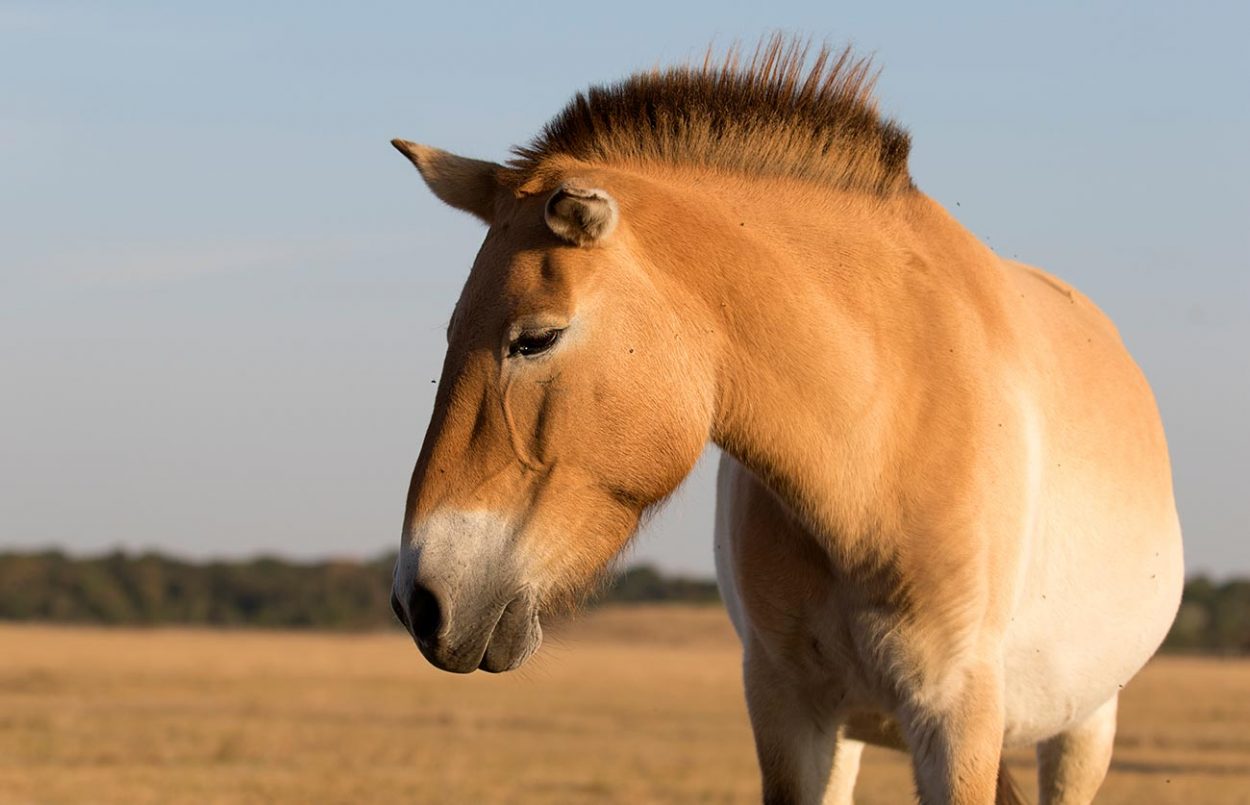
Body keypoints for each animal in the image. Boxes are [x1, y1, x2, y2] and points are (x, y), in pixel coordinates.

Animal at [387, 39, 1180, 805]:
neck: (880, 452)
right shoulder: (789, 712)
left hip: (1083, 727)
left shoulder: (957, 723)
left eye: (536, 339)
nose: (419, 603)